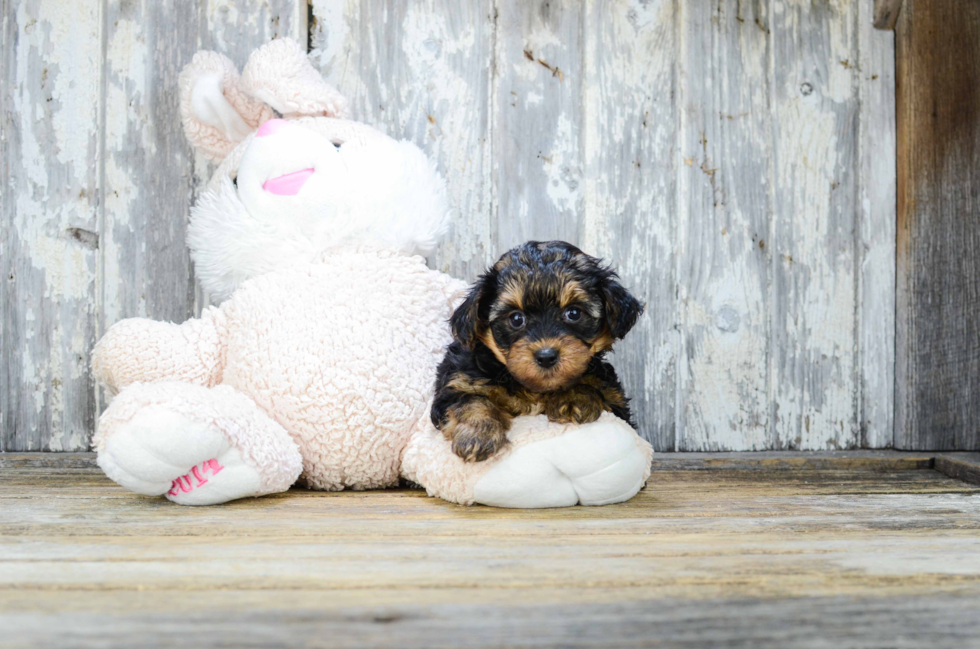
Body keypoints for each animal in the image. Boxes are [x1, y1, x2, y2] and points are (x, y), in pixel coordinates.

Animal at [432, 242, 648, 460]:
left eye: (574, 313)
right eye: (516, 318)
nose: (546, 356)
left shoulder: (615, 400)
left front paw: (573, 397)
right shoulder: (458, 382)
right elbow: (471, 401)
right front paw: (477, 434)